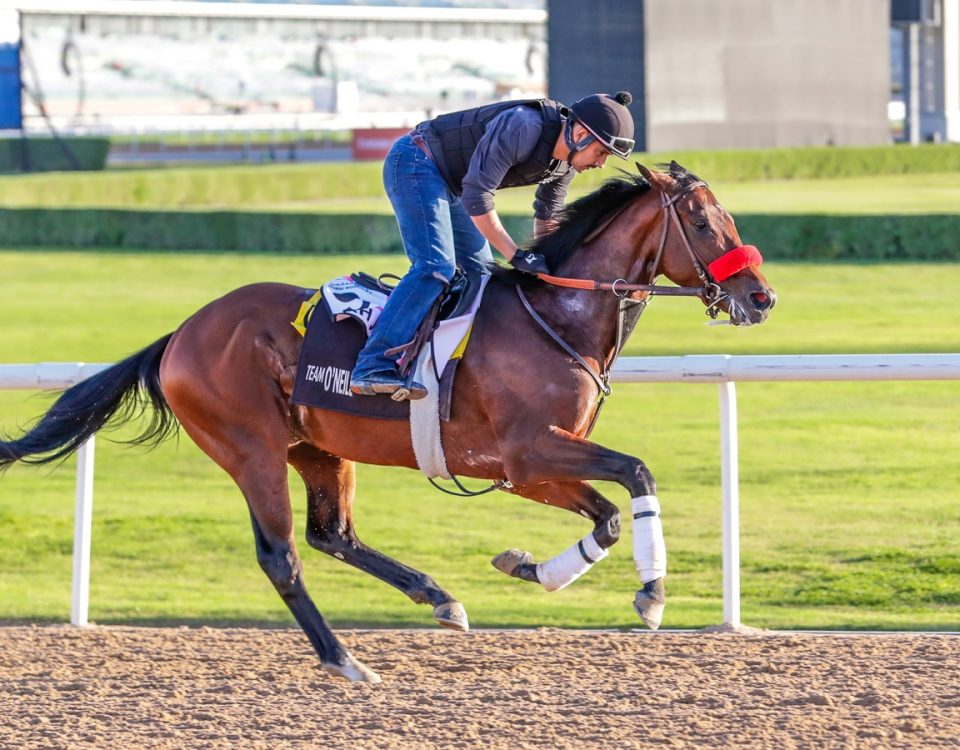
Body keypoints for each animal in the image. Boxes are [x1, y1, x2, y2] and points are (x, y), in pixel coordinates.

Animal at [0, 162, 772, 684]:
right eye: (704, 222)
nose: (762, 296)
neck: (556, 315)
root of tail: (179, 336)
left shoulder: (523, 467)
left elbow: (607, 518)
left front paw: (530, 568)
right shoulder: (529, 452)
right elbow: (636, 475)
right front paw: (652, 595)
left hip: (316, 446)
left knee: (333, 535)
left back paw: (439, 599)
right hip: (249, 448)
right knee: (283, 555)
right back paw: (345, 659)